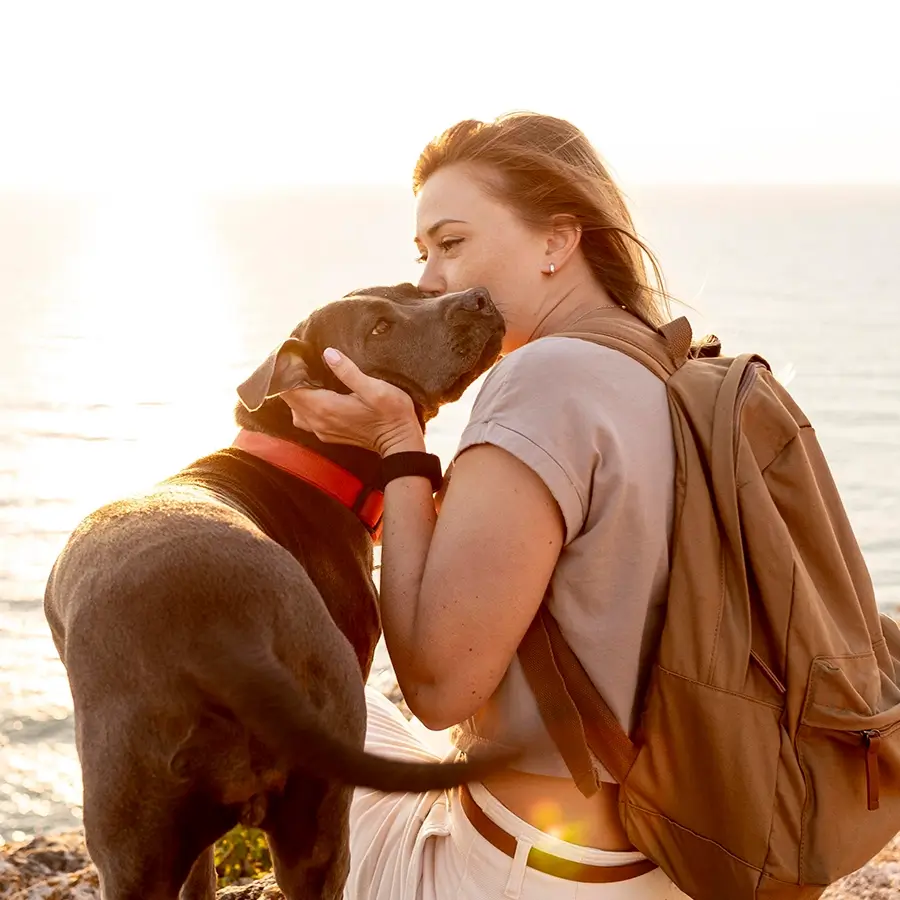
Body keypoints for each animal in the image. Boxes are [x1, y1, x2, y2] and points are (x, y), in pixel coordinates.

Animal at [45, 284, 506, 900]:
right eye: (379, 328)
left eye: (416, 291)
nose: (477, 297)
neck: (302, 460)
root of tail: (221, 634)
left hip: (149, 844)